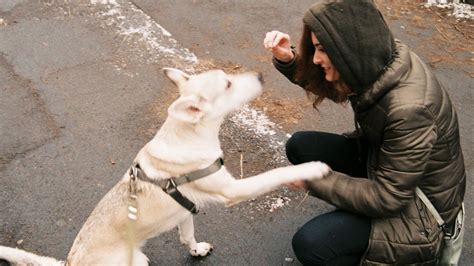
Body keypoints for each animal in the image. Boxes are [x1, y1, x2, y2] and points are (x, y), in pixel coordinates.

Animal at [0, 68, 330, 266]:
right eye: (227, 83)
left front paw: (196, 250)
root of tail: (69, 263)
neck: (189, 135)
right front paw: (312, 168)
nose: (261, 74)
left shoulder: (185, 210)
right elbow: (276, 173)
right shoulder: (232, 189)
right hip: (133, 260)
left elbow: (187, 236)